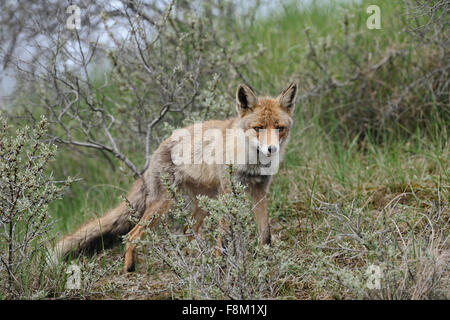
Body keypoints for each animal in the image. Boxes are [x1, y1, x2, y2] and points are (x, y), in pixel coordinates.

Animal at [52, 82, 298, 272]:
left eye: (279, 128)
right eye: (258, 128)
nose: (272, 149)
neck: (253, 162)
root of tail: (155, 153)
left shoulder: (260, 190)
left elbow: (265, 234)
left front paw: (267, 260)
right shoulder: (230, 193)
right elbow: (224, 237)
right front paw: (222, 265)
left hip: (203, 204)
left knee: (186, 232)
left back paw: (194, 258)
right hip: (165, 204)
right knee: (132, 235)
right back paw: (130, 268)